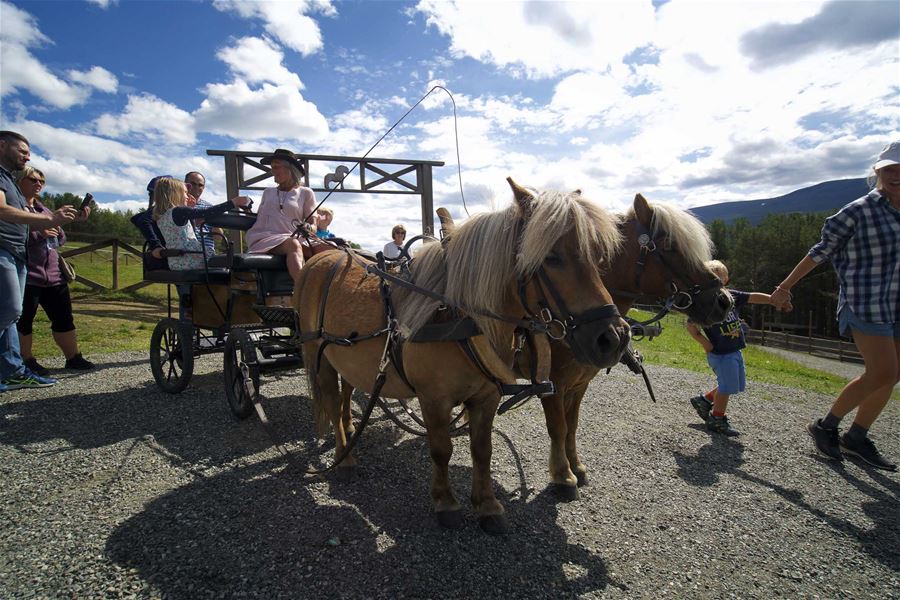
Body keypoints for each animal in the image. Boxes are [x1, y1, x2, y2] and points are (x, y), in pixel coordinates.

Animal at [292, 179, 628, 536]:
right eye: (550, 256)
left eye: (598, 257)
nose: (614, 337)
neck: (459, 315)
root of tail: (322, 258)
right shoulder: (433, 399)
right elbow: (442, 450)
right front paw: (446, 502)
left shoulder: (487, 396)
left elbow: (482, 451)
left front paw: (488, 505)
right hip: (318, 357)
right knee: (330, 400)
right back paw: (345, 457)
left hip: (344, 359)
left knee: (345, 397)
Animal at [536, 195, 732, 500]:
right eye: (669, 245)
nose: (724, 301)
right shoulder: (553, 382)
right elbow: (558, 426)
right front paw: (563, 476)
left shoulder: (579, 383)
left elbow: (572, 424)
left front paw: (576, 465)